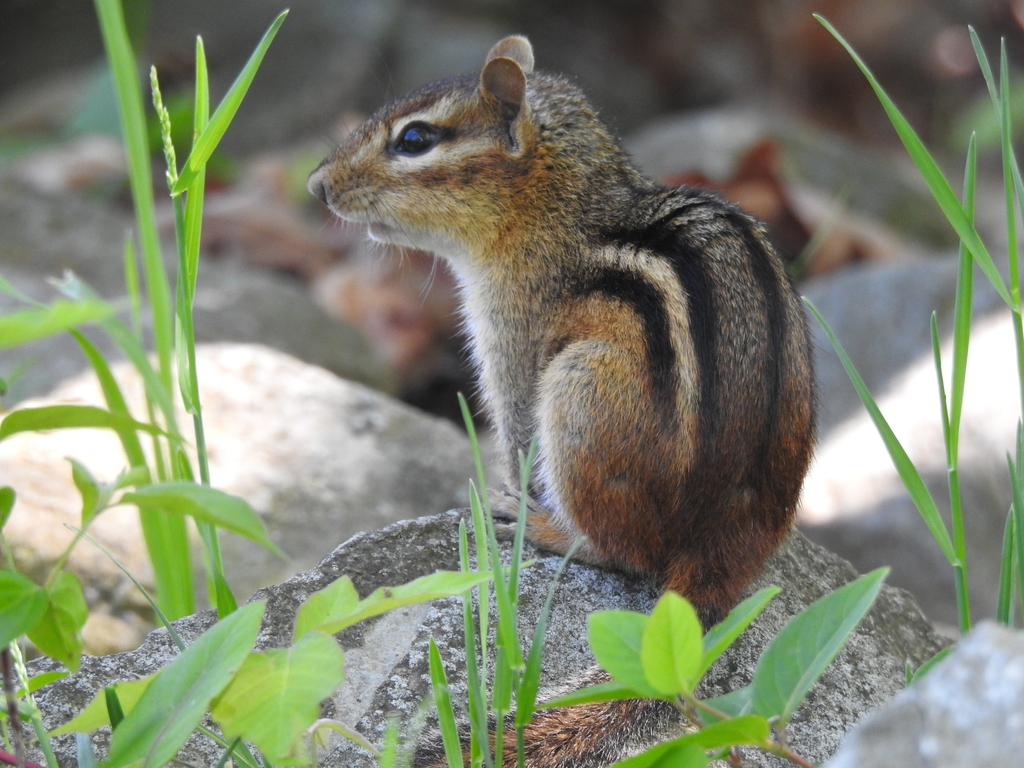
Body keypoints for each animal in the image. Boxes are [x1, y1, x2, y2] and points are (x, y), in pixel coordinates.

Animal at [308, 35, 815, 768]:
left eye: (414, 139)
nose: (317, 185)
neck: (561, 201)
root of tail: (722, 541)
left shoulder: (512, 338)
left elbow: (515, 429)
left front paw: (512, 492)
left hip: (578, 397)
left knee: (621, 553)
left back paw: (542, 526)